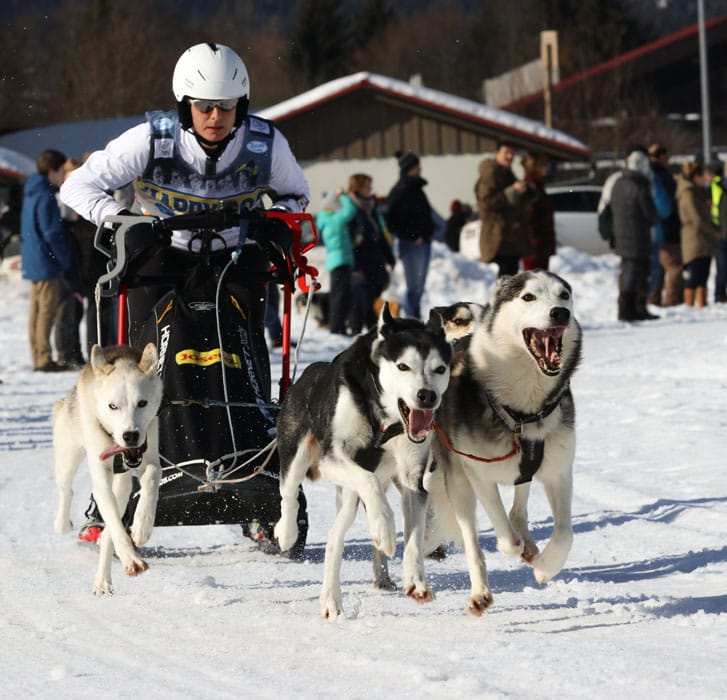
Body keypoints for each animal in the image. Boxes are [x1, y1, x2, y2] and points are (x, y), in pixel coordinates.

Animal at [53, 344, 164, 596]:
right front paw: (132, 559)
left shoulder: (150, 456)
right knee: (66, 490)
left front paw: (142, 526)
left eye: (142, 403)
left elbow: (151, 478)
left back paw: (103, 579)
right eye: (113, 406)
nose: (130, 436)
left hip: (121, 486)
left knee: (107, 535)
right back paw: (62, 523)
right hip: (68, 456)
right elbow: (113, 522)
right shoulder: (102, 479)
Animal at [276, 306, 452, 616]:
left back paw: (339, 595)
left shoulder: (413, 477)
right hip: (298, 457)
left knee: (335, 536)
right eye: (403, 366)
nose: (427, 396)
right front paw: (384, 526)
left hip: (350, 496)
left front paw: (415, 579)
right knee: (290, 495)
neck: (384, 420)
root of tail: (309, 373)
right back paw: (287, 535)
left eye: (440, 369)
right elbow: (368, 481)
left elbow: (415, 534)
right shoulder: (334, 458)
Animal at [432, 270, 580, 616]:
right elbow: (504, 538)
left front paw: (545, 567)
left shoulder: (559, 471)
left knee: (519, 506)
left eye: (564, 295)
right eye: (528, 297)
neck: (525, 411)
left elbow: (565, 533)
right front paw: (512, 547)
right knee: (473, 541)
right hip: (458, 483)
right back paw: (481, 592)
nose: (560, 313)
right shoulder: (477, 472)